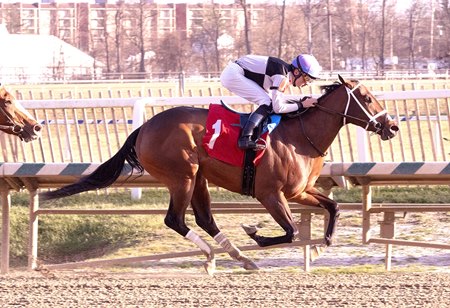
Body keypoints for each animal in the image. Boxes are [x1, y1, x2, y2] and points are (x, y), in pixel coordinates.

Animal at [39, 76, 398, 274]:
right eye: (367, 98)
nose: (392, 126)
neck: (300, 137)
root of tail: (145, 127)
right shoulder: (270, 194)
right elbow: (292, 231)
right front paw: (257, 234)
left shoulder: (298, 192)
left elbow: (332, 207)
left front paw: (323, 246)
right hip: (181, 176)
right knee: (176, 219)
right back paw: (215, 253)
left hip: (198, 178)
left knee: (204, 219)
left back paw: (240, 257)